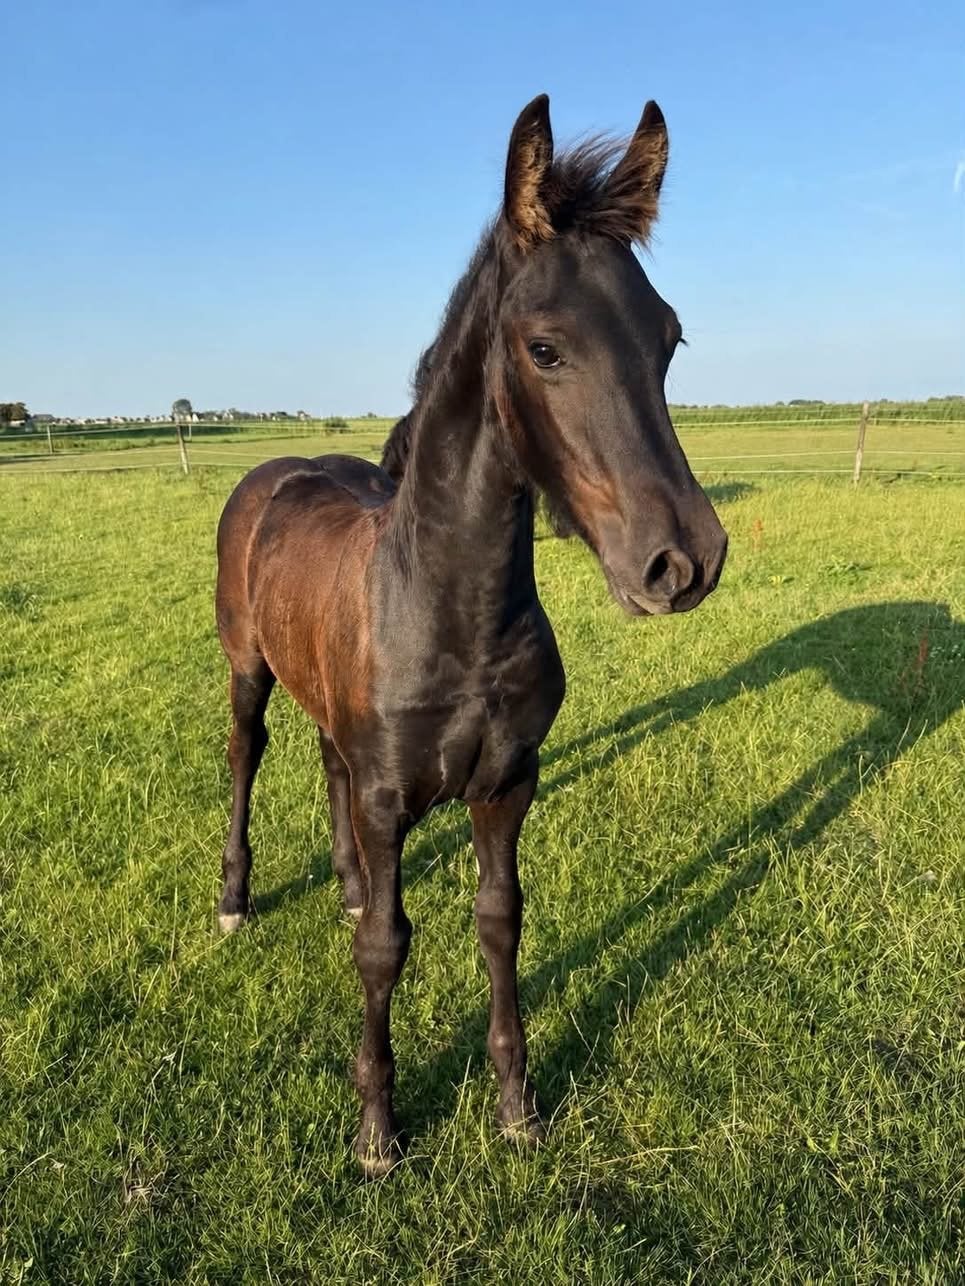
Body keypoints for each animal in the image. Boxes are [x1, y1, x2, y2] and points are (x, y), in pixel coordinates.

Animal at [214, 94, 728, 1176]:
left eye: (667, 338)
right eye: (543, 347)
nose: (683, 561)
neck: (456, 617)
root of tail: (274, 470)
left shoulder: (505, 783)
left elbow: (500, 923)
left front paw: (515, 1105)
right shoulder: (389, 797)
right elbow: (386, 948)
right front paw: (378, 1130)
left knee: (324, 762)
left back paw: (343, 885)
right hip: (245, 666)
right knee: (247, 752)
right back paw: (235, 898)